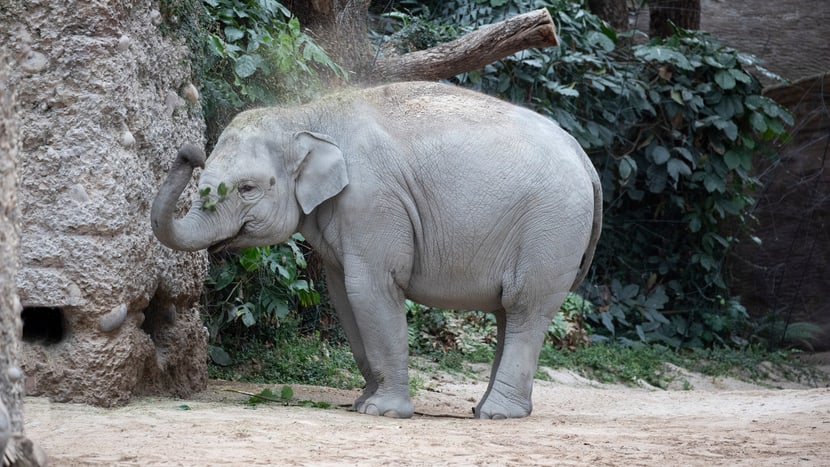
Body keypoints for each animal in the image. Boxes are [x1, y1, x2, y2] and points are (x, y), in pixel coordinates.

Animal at [151, 81, 602, 419]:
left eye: (247, 188)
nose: (189, 152)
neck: (306, 115)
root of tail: (585, 158)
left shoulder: (372, 202)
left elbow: (371, 288)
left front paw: (381, 412)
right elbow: (344, 296)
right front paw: (362, 402)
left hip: (552, 230)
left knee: (526, 307)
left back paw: (496, 414)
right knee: (509, 313)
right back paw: (488, 410)